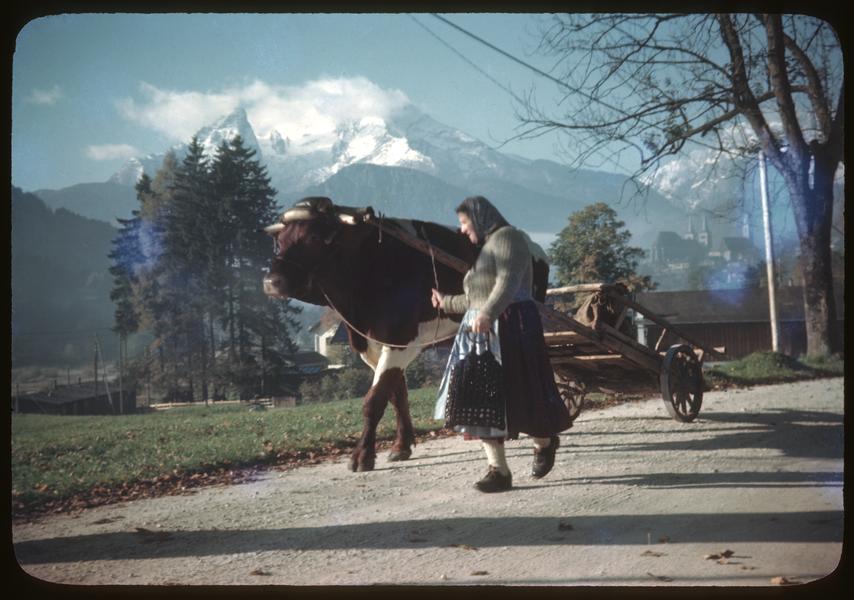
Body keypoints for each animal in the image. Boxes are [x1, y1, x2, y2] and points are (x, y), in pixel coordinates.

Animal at [262, 196, 549, 472]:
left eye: (313, 237)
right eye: (280, 241)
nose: (271, 282)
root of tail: (532, 244)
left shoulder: (399, 342)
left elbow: (374, 400)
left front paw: (362, 456)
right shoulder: (378, 346)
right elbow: (397, 396)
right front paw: (401, 446)